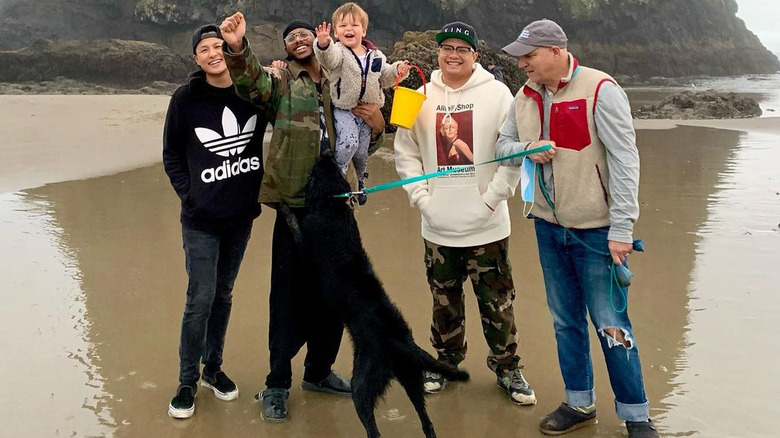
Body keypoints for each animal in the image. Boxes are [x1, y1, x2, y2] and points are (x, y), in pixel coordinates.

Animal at [288, 153, 466, 438]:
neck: (332, 207)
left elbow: (293, 223)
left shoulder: (306, 245)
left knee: (373, 428)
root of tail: (402, 343)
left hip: (362, 383)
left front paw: (284, 207)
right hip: (410, 377)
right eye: (331, 165)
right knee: (427, 421)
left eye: (317, 169)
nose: (326, 153)